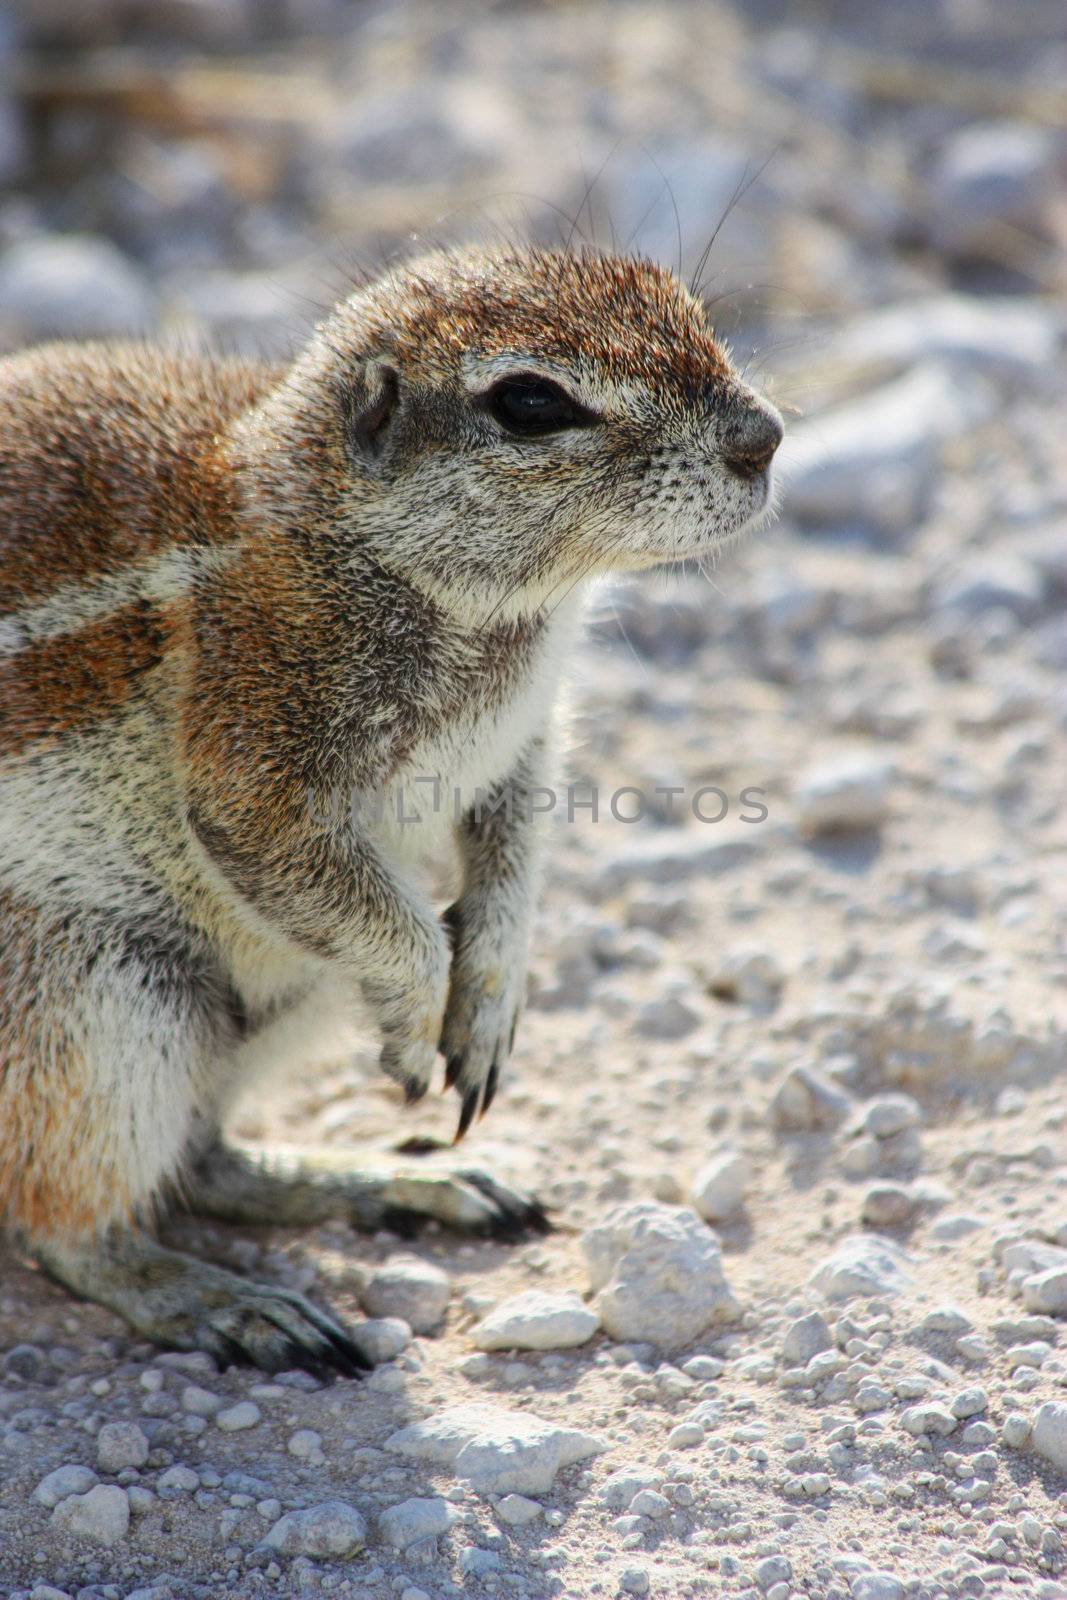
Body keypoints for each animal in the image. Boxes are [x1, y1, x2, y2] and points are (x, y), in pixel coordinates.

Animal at [0, 243, 783, 1369]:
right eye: (532, 402)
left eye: (687, 305)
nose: (765, 439)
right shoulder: (258, 726)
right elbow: (340, 890)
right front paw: (424, 1022)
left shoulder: (521, 742)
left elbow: (514, 845)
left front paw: (489, 1002)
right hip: (98, 1005)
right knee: (72, 1222)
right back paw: (225, 1299)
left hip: (282, 997)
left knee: (207, 1163)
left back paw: (396, 1181)